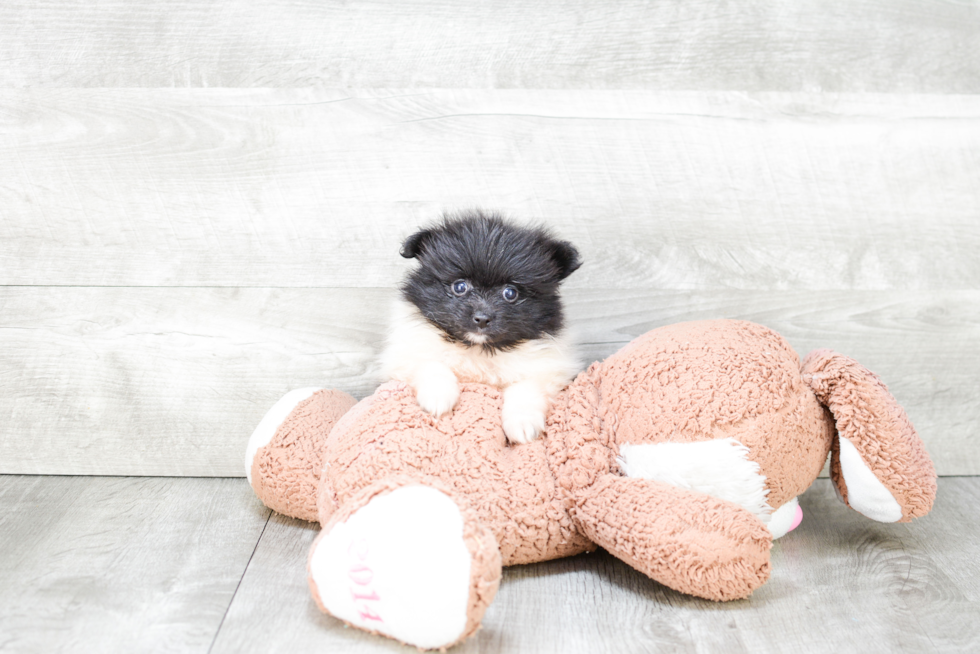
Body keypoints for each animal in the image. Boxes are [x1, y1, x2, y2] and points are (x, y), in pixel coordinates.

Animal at [380, 211, 580, 446]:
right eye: (459, 287)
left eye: (510, 293)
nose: (482, 319)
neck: (478, 349)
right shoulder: (404, 355)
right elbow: (430, 363)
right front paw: (438, 396)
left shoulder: (550, 368)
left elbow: (527, 387)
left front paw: (523, 424)